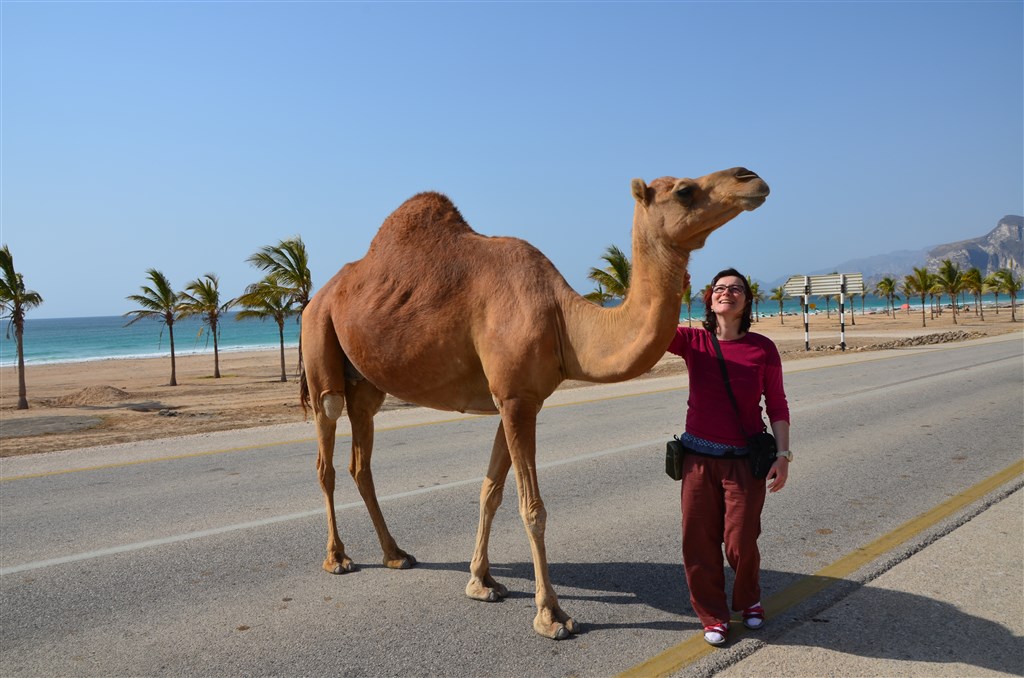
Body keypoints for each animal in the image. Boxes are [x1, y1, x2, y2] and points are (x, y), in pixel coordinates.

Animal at [300, 167, 770, 639]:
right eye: (685, 191)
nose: (751, 178)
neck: (563, 320)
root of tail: (318, 296)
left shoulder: (517, 400)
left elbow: (490, 490)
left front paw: (481, 582)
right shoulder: (515, 399)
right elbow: (532, 508)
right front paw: (551, 615)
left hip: (366, 383)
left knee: (361, 461)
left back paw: (395, 553)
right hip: (319, 343)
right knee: (326, 454)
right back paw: (337, 558)